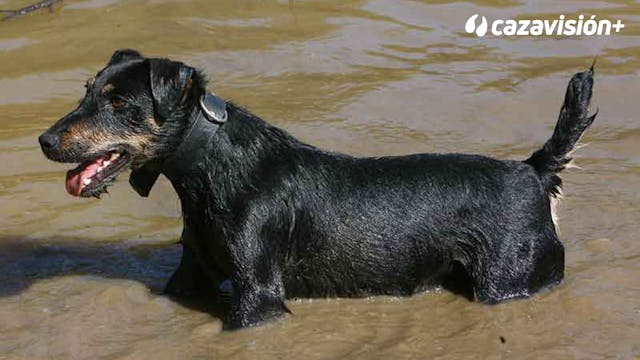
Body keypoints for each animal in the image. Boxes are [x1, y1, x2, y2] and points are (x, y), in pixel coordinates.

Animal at [37, 50, 596, 330]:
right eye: (87, 91)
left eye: (117, 102)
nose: (44, 140)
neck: (209, 167)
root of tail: (532, 172)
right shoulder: (191, 277)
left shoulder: (258, 297)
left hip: (508, 277)